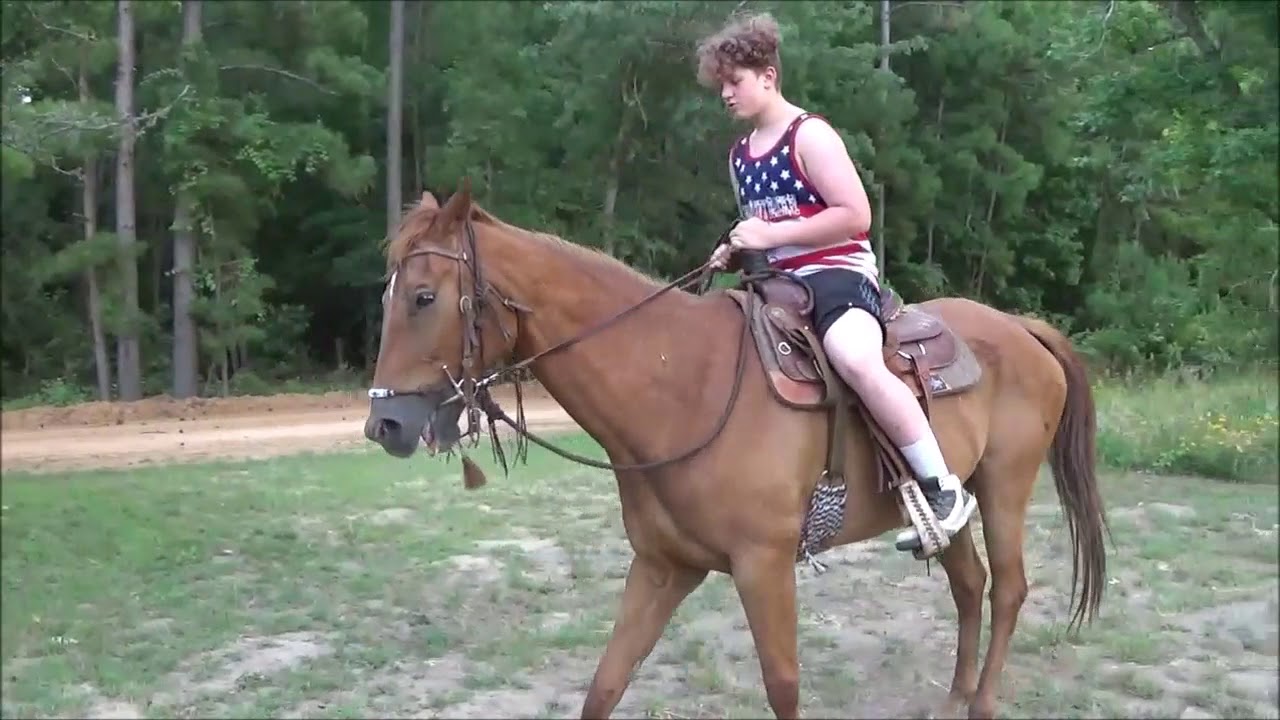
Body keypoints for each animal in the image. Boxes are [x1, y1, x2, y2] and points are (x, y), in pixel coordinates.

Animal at [363, 180, 1110, 719]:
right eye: (388, 294)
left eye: (424, 297)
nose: (384, 426)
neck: (683, 386)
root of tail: (1019, 326)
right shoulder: (663, 568)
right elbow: (605, 685)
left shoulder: (763, 567)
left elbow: (782, 686)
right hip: (950, 511)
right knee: (970, 585)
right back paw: (954, 699)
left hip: (1004, 487)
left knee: (1008, 589)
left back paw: (980, 702)